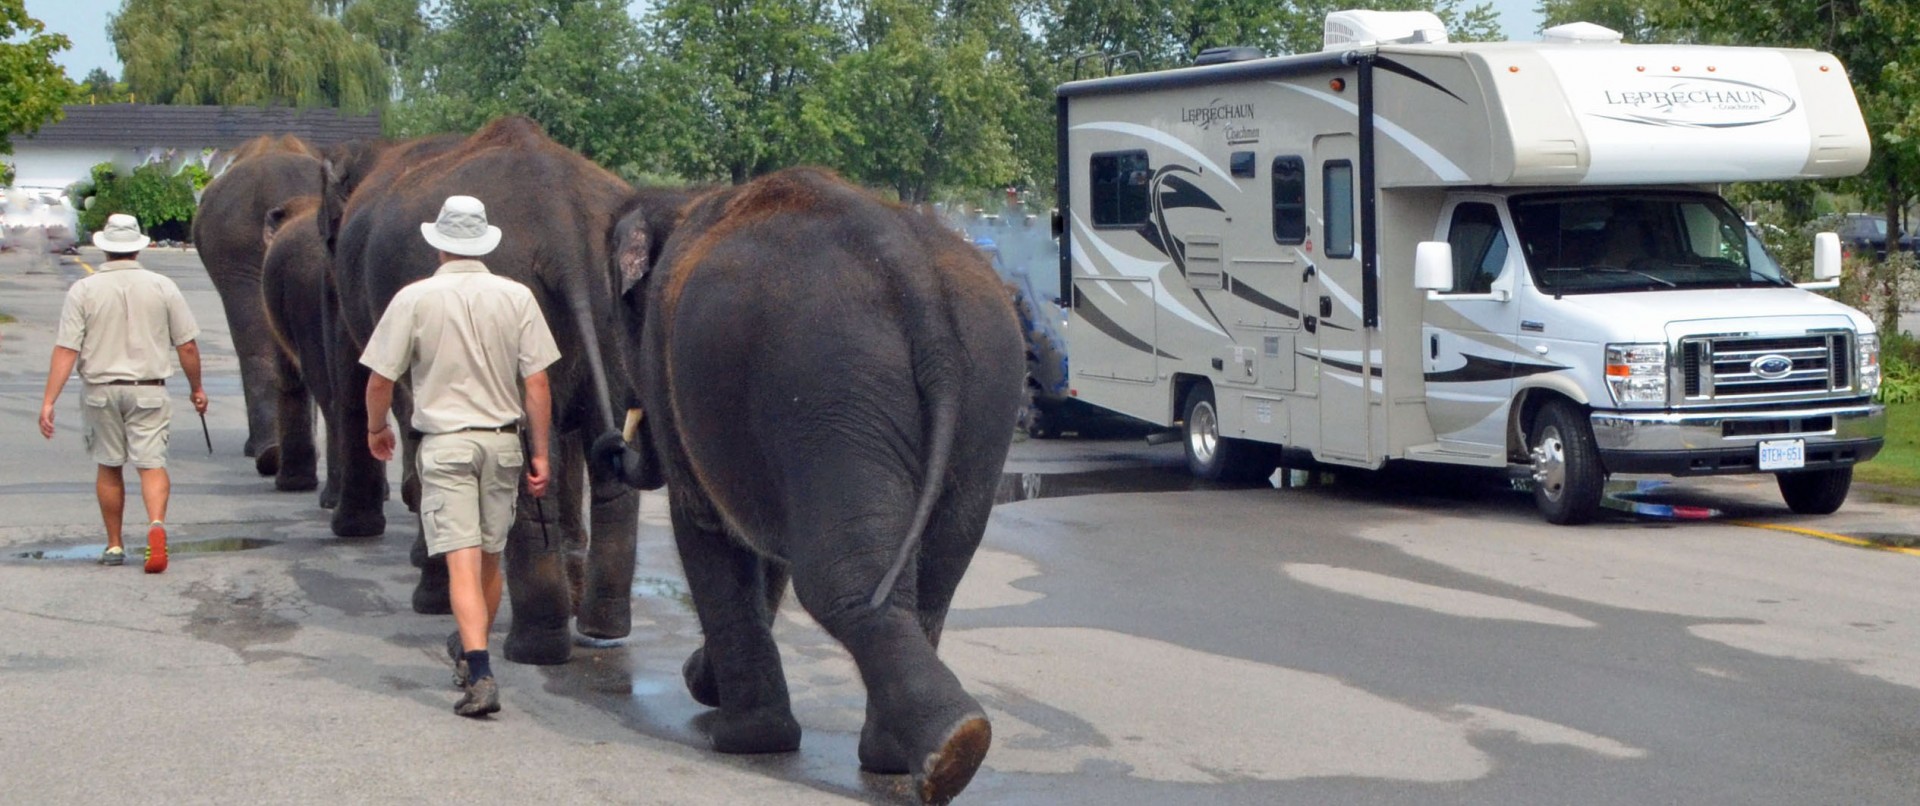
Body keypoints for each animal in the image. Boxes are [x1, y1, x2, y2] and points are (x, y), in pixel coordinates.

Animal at [318, 118, 641, 660]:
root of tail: (562, 228)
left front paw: (430, 598)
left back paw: (531, 649)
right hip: (614, 304)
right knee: (609, 451)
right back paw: (600, 630)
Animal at [622, 166, 1029, 802]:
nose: (691, 673)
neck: (684, 198)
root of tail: (907, 263)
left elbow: (710, 529)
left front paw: (743, 738)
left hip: (827, 378)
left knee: (844, 576)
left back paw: (940, 753)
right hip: (985, 379)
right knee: (938, 567)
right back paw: (931, 753)